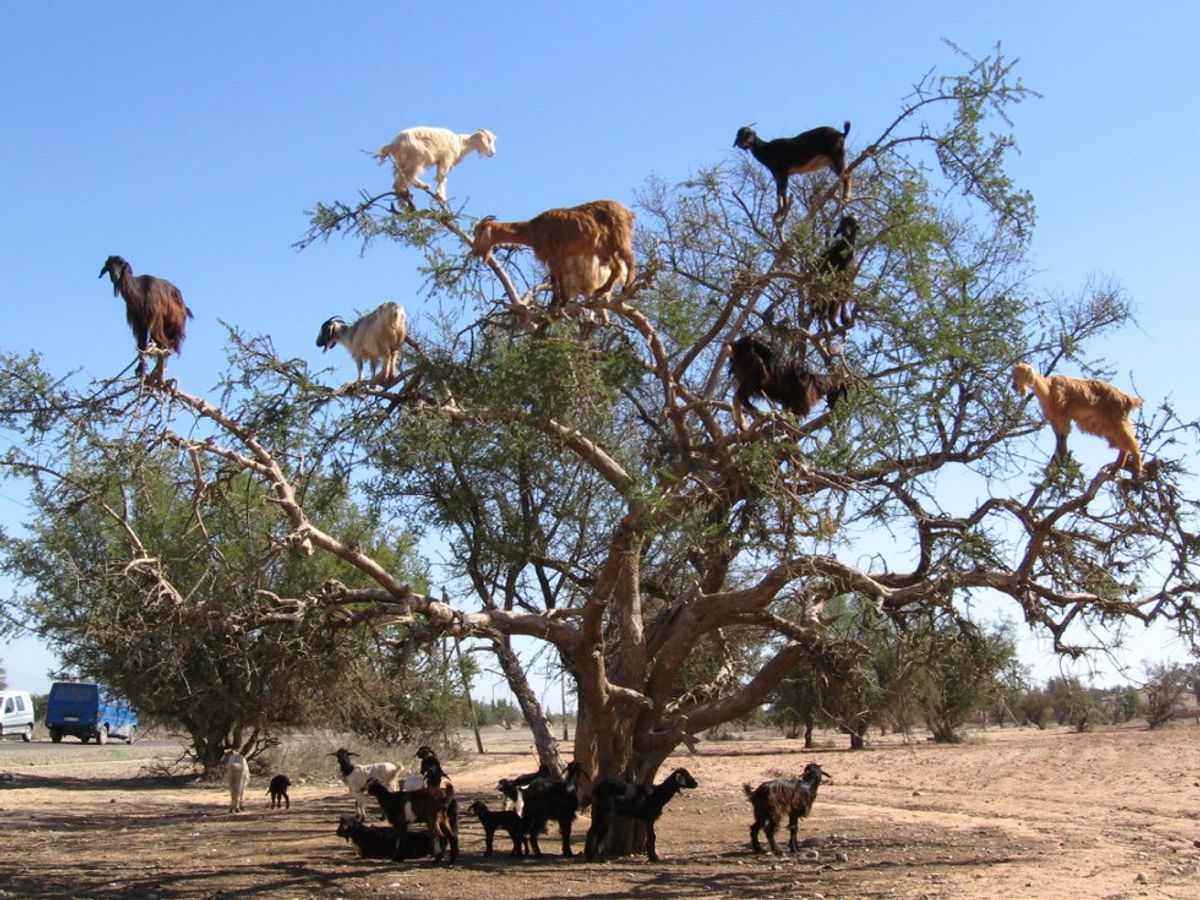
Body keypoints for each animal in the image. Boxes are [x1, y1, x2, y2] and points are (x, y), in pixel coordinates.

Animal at [468, 199, 638, 312]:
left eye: (478, 232)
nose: (474, 251)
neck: (533, 230)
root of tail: (627, 212)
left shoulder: (552, 255)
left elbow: (554, 279)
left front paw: (554, 303)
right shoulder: (558, 257)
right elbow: (559, 278)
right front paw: (563, 302)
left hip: (619, 238)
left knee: (629, 260)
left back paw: (627, 286)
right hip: (604, 248)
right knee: (616, 267)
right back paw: (601, 290)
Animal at [1012, 364, 1142, 482]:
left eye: (1021, 374)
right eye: (1013, 375)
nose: (1014, 386)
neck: (1048, 388)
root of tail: (1128, 399)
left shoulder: (1063, 418)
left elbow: (1063, 438)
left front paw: (1062, 460)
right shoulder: (1056, 420)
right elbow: (1060, 439)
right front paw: (1060, 460)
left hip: (1117, 421)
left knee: (1132, 444)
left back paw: (1137, 472)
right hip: (1109, 427)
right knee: (1123, 447)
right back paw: (1115, 470)